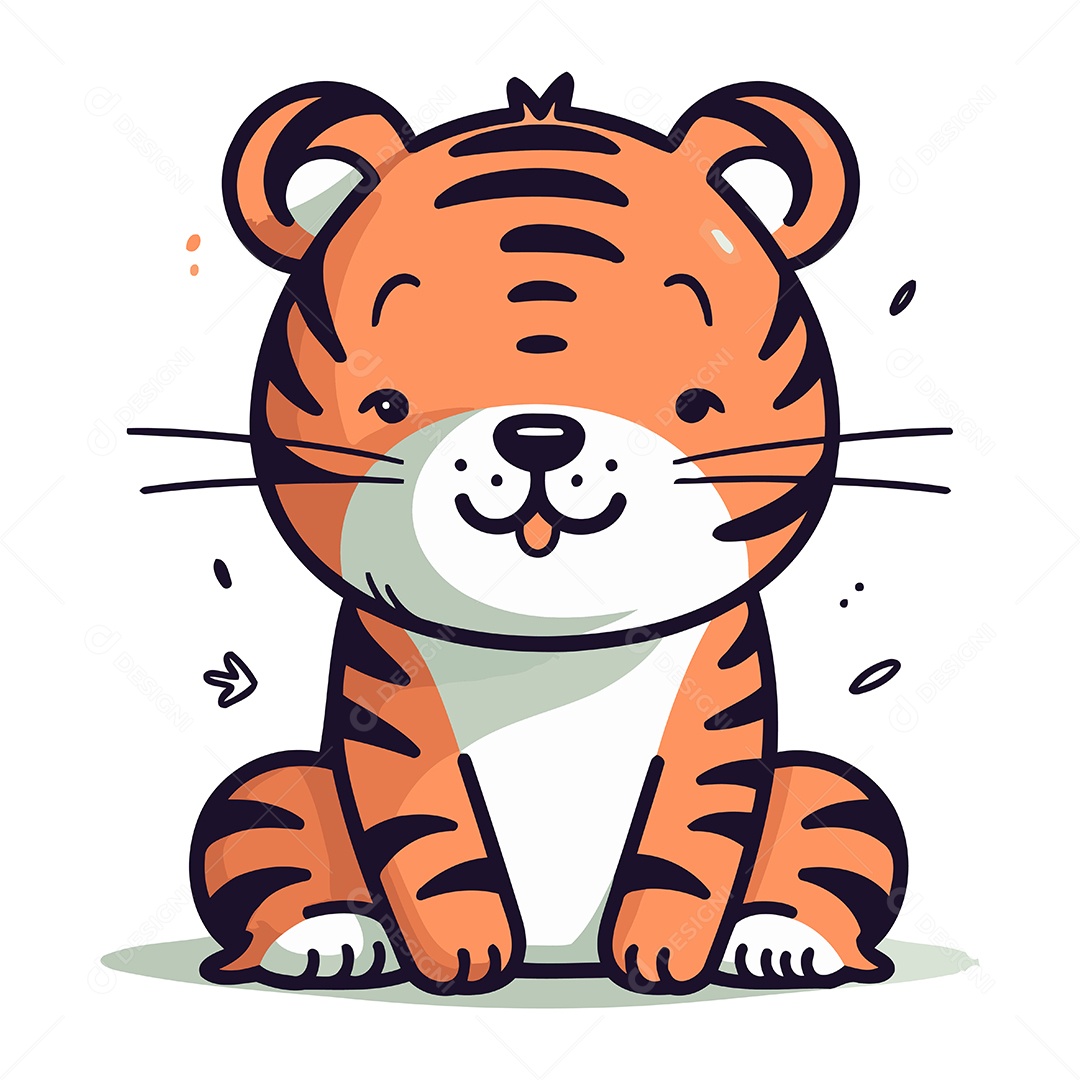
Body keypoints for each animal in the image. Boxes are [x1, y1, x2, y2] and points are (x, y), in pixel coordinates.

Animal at [188, 73, 908, 997]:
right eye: (385, 403)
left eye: (695, 404)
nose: (537, 437)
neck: (552, 648)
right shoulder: (392, 714)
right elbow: (434, 848)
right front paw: (461, 961)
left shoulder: (718, 716)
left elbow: (689, 851)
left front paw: (664, 960)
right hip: (269, 801)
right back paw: (330, 939)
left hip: (828, 800)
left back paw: (781, 941)